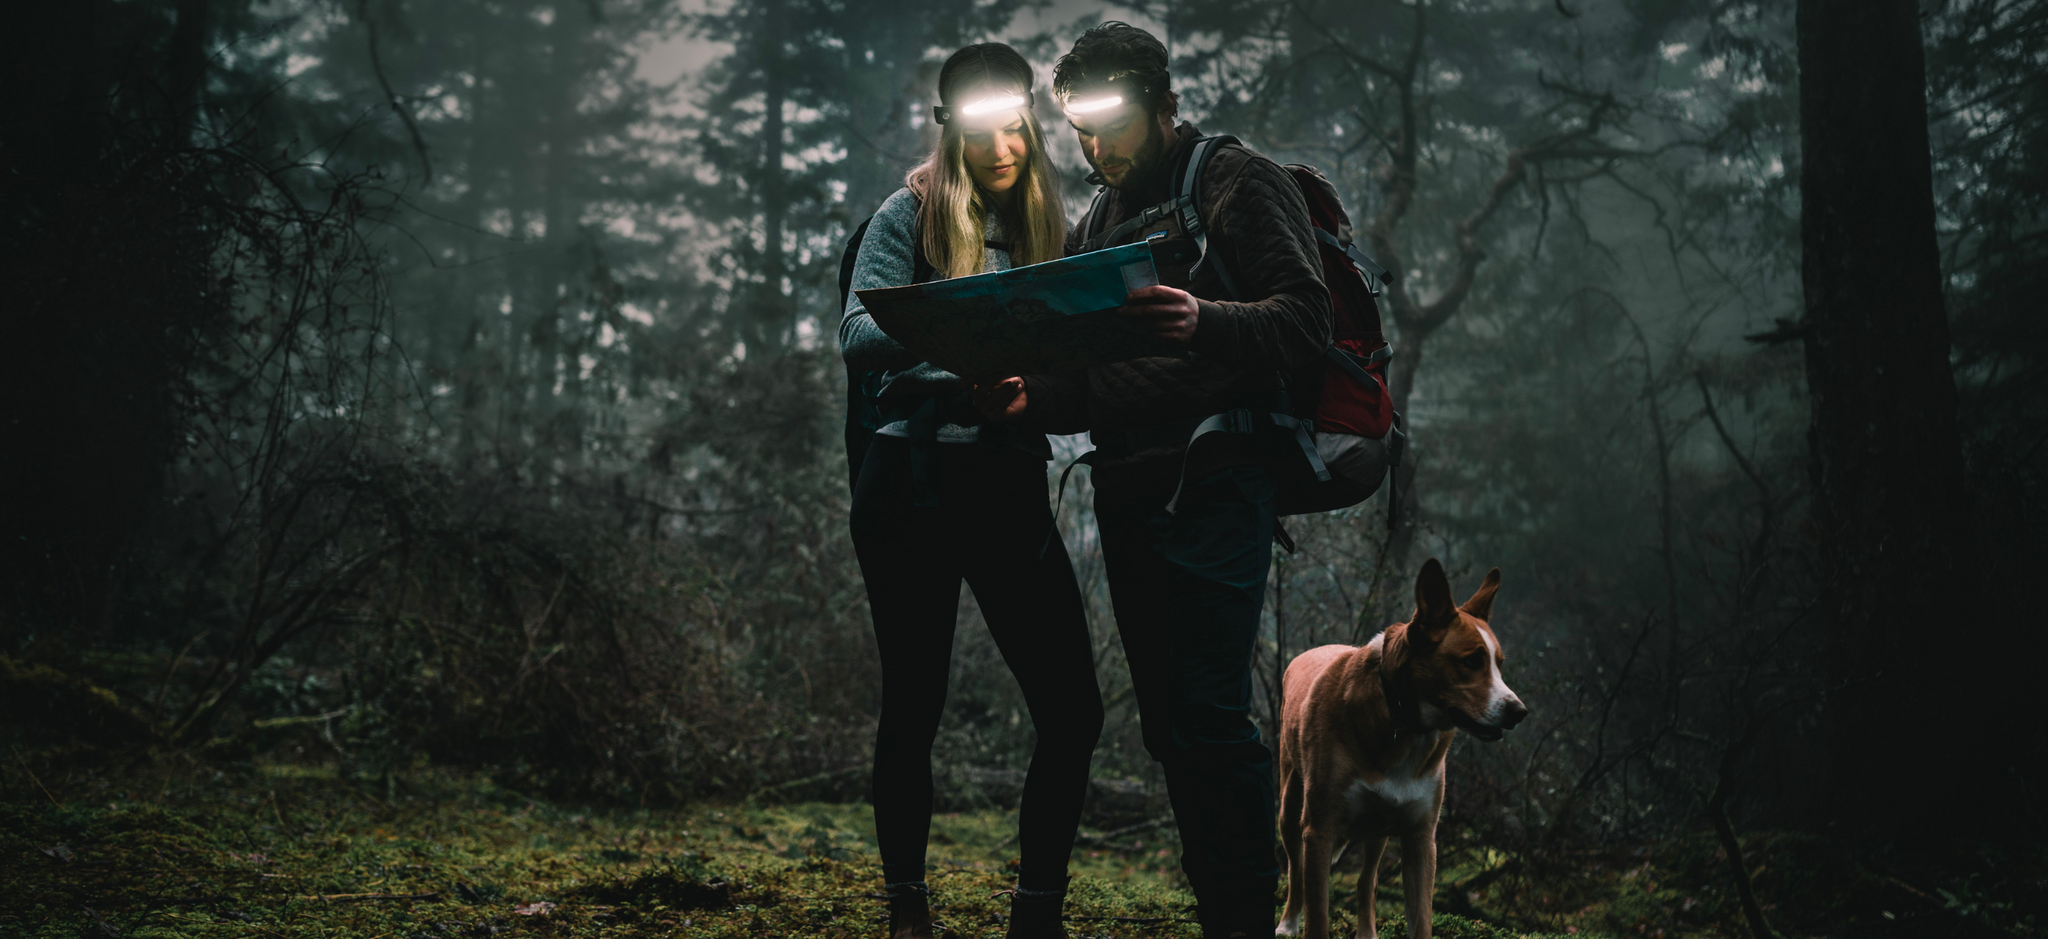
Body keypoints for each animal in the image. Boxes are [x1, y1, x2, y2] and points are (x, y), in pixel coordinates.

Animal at [1269, 561, 1531, 934]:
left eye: (1499, 663)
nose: (1519, 712)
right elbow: (1317, 914)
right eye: (1470, 661)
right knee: (1295, 868)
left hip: (1378, 828)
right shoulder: (1319, 830)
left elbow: (1420, 919)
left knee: (1367, 882)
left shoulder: (1421, 839)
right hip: (1291, 807)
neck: (1401, 720)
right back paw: (1288, 923)